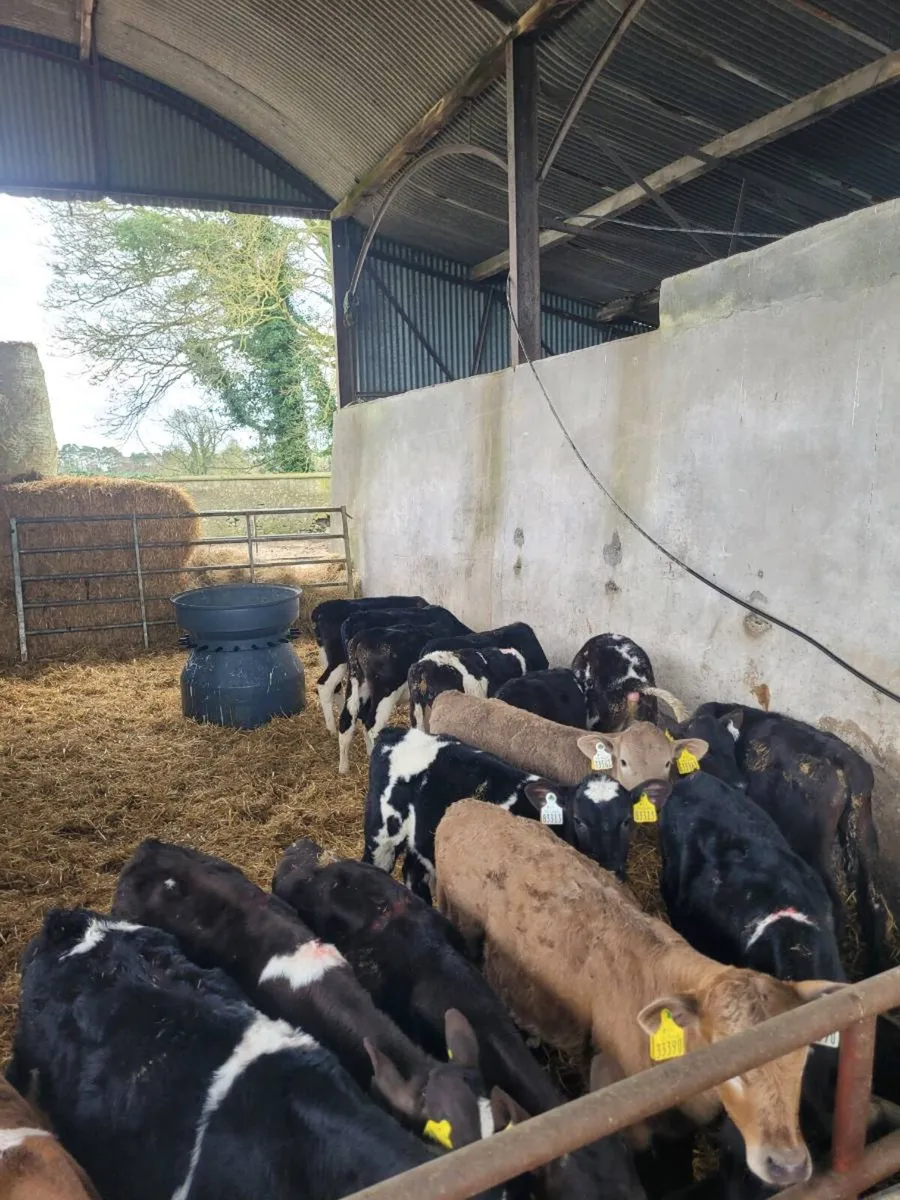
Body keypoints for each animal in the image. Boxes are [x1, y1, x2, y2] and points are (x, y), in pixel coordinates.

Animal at [337, 606, 471, 773]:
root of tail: (361, 638)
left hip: (356, 682)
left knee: (347, 718)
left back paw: (344, 767)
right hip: (385, 691)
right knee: (372, 725)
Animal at [363, 727, 667, 899]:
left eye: (627, 820)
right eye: (578, 820)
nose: (611, 868)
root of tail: (398, 732)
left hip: (421, 841)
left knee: (413, 871)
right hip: (381, 835)